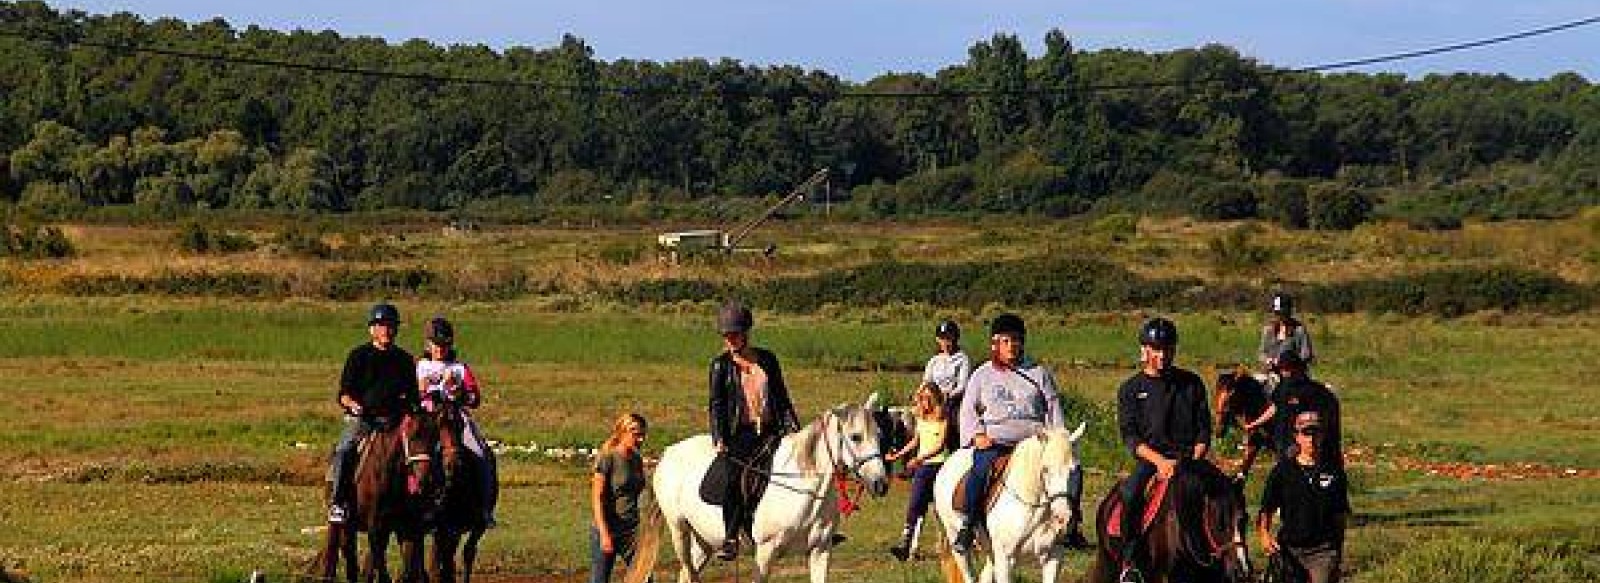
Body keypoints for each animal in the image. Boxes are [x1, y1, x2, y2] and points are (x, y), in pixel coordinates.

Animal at [312, 413, 441, 583]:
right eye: (413, 436)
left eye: (435, 438)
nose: (426, 479)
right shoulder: (375, 525)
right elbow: (382, 568)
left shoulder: (406, 528)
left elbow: (409, 570)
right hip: (339, 521)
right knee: (337, 549)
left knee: (351, 555)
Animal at [652, 394, 902, 579]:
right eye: (855, 437)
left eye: (879, 435)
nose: (881, 483)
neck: (806, 489)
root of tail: (668, 452)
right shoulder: (765, 554)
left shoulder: (820, 551)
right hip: (679, 530)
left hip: (704, 541)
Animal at [934, 422, 1094, 583]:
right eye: (1045, 469)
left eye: (1076, 469)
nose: (1062, 518)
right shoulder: (1005, 558)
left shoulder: (1054, 555)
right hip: (956, 538)